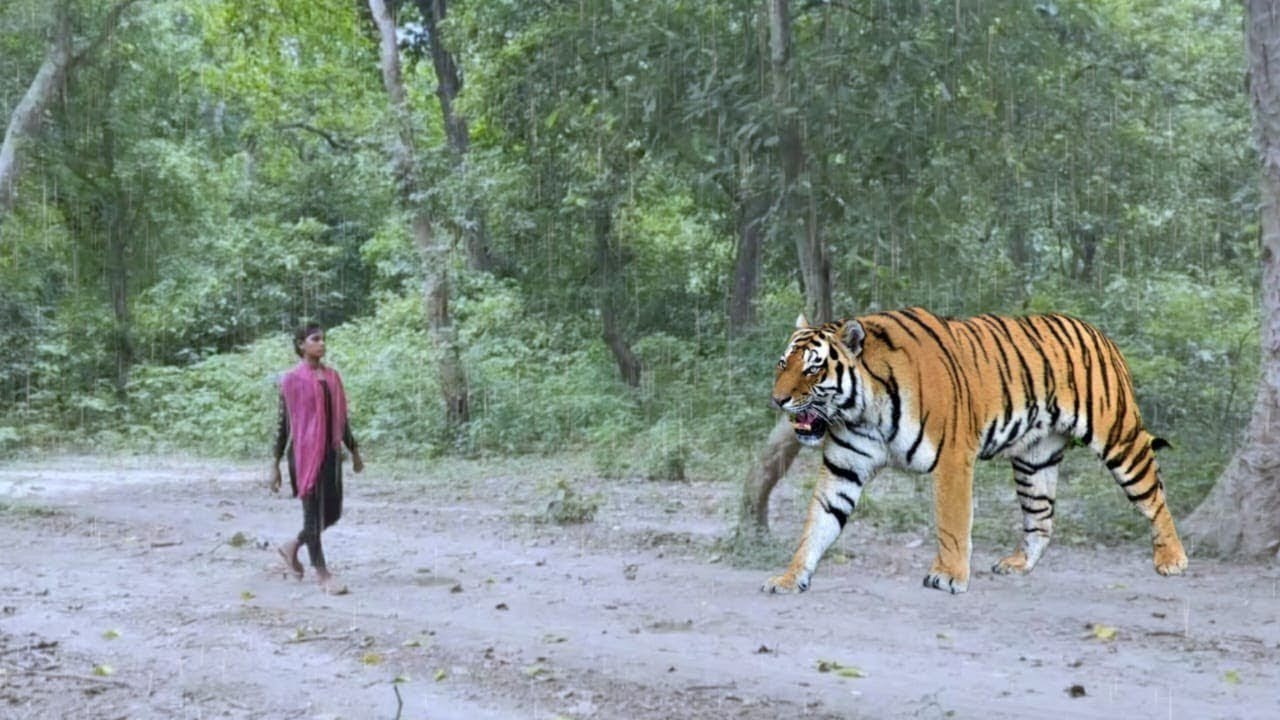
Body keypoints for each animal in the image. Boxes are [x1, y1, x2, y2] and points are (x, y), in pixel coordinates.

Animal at [762, 308, 1188, 595]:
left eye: (813, 369)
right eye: (782, 364)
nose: (778, 400)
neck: (862, 410)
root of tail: (1099, 332)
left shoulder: (952, 458)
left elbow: (952, 523)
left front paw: (948, 576)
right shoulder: (844, 468)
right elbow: (817, 524)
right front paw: (790, 577)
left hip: (1118, 437)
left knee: (1154, 494)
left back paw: (1172, 559)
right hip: (1034, 461)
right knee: (1042, 517)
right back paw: (1018, 564)